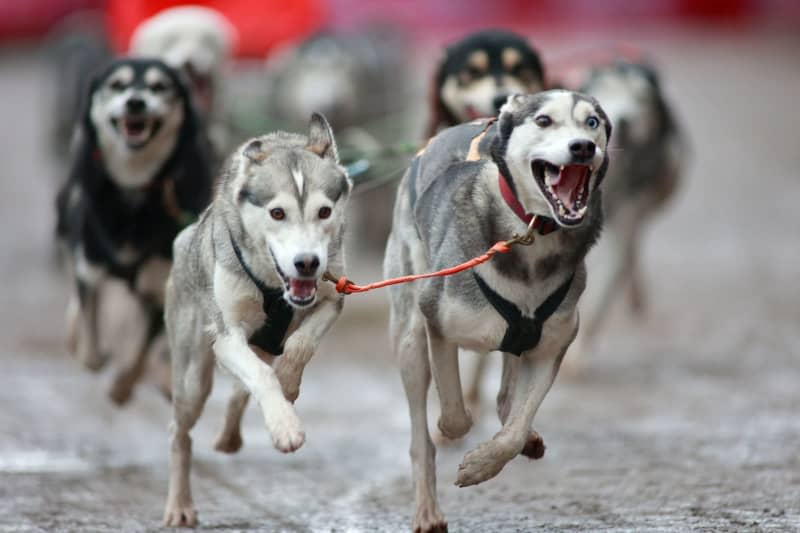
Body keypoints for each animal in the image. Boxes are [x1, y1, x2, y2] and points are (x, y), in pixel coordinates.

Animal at [56, 59, 214, 404]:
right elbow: (90, 346)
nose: (136, 102)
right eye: (117, 84)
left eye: (159, 87)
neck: (135, 185)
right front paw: (94, 354)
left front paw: (122, 386)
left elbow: (138, 352)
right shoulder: (89, 268)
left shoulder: (156, 285)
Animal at [162, 112, 350, 524]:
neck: (275, 287)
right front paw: (285, 429)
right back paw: (179, 504)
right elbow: (262, 378)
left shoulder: (332, 296)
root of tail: (185, 237)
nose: (307, 263)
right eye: (277, 213)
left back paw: (230, 436)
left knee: (239, 389)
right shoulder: (228, 335)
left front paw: (289, 383)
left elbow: (299, 345)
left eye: (324, 211)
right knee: (180, 432)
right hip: (192, 375)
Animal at [384, 89, 608, 528]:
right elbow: (455, 416)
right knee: (421, 438)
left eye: (592, 123)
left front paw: (486, 462)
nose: (583, 147)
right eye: (544, 121)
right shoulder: (437, 320)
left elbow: (518, 423)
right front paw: (453, 430)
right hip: (410, 334)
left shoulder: (553, 343)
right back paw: (427, 510)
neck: (532, 235)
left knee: (508, 399)